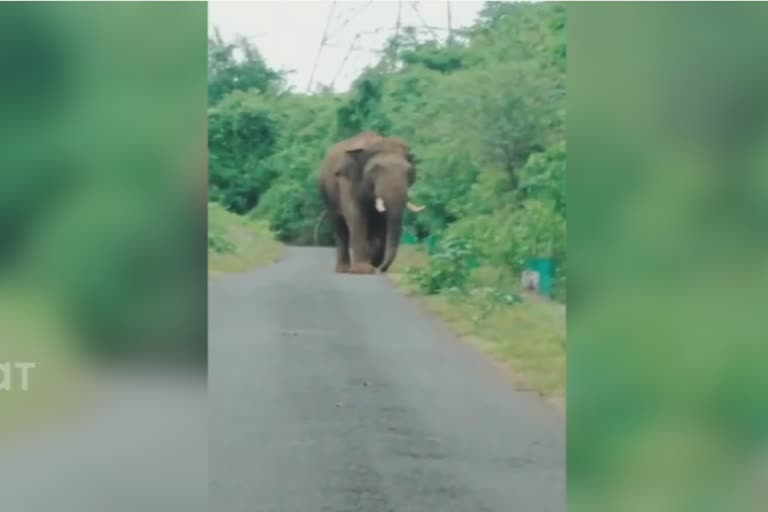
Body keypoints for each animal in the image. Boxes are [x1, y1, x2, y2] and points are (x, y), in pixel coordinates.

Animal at [318, 133, 426, 276]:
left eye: (409, 172)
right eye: (374, 170)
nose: (381, 269)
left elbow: (382, 221)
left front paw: (372, 264)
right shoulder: (346, 179)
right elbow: (355, 213)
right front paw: (363, 270)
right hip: (328, 196)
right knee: (340, 227)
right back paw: (343, 270)